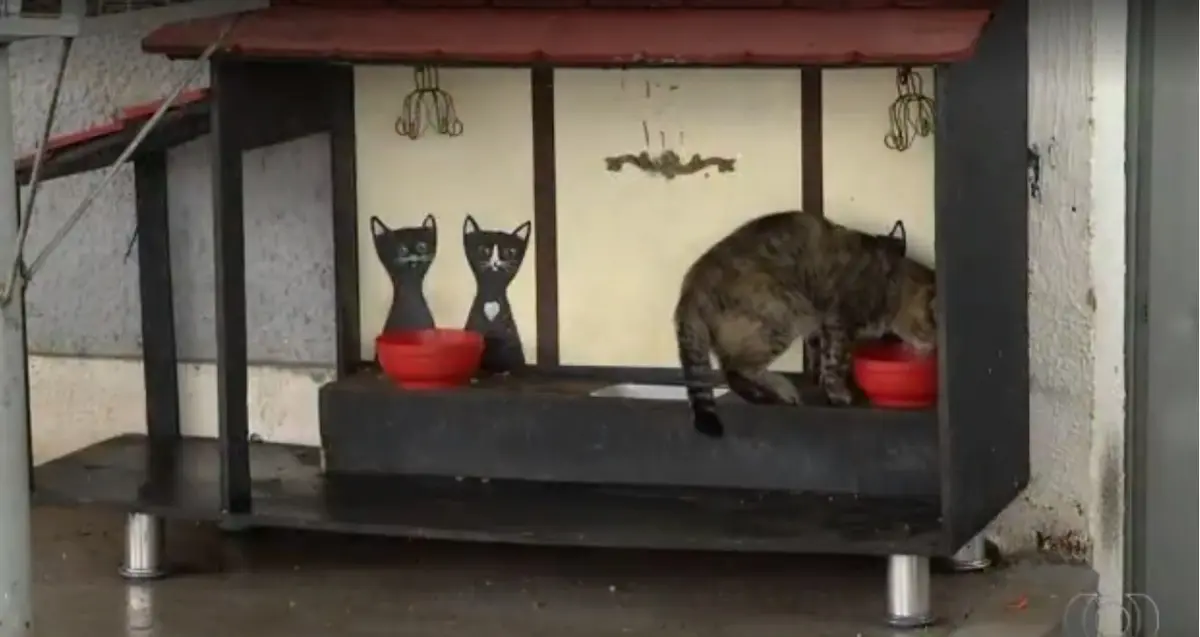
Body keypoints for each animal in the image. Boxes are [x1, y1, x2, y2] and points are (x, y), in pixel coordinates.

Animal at [676, 209, 936, 439]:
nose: (932, 349)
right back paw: (781, 390)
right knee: (737, 367)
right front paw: (839, 394)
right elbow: (836, 362)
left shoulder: (820, 326)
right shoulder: (839, 321)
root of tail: (692, 286)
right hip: (779, 313)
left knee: (729, 369)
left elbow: (821, 357)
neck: (890, 284)